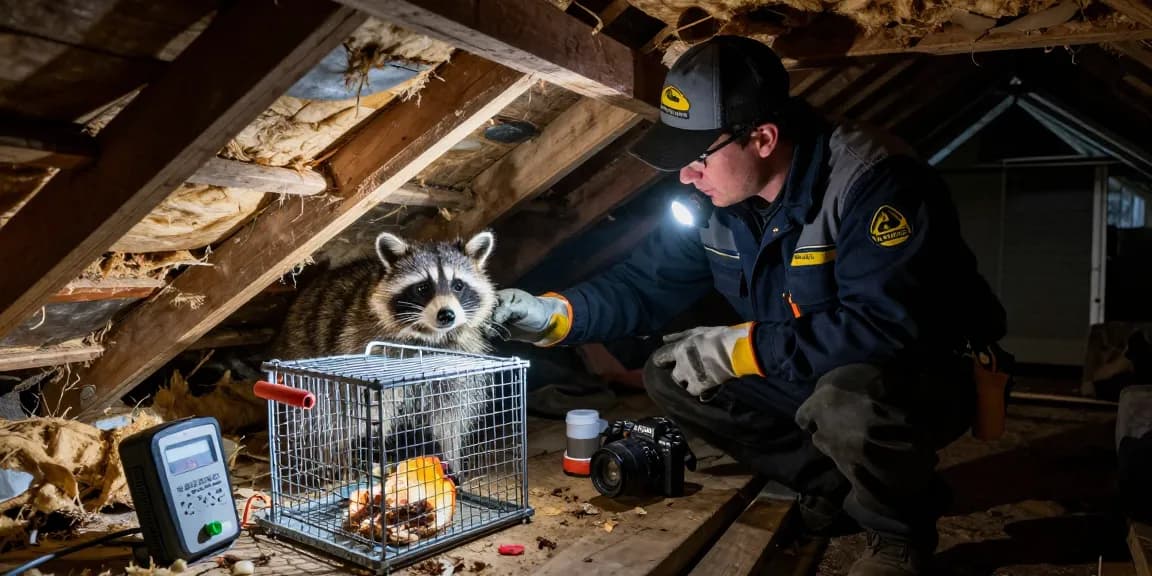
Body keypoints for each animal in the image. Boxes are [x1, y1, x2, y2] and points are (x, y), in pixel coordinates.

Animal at [271, 230, 498, 477]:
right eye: (422, 288)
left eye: (458, 285)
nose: (446, 315)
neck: (427, 339)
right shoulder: (365, 346)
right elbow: (369, 411)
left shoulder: (455, 362)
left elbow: (450, 416)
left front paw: (452, 455)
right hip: (304, 350)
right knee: (327, 418)